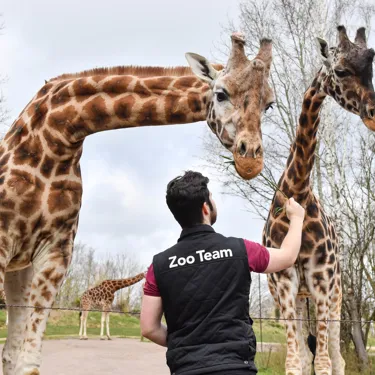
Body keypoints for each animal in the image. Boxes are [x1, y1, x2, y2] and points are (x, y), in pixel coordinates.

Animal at [0, 33, 274, 375]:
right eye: (221, 94)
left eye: (269, 104)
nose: (250, 160)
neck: (56, 139)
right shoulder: (5, 243)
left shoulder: (55, 253)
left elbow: (26, 361)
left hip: (20, 269)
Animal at [262, 25, 374, 375]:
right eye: (340, 71)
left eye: (371, 69)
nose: (373, 115)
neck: (297, 189)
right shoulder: (285, 283)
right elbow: (295, 361)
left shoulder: (322, 281)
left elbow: (324, 361)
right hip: (299, 297)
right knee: (307, 353)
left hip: (335, 294)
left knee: (336, 358)